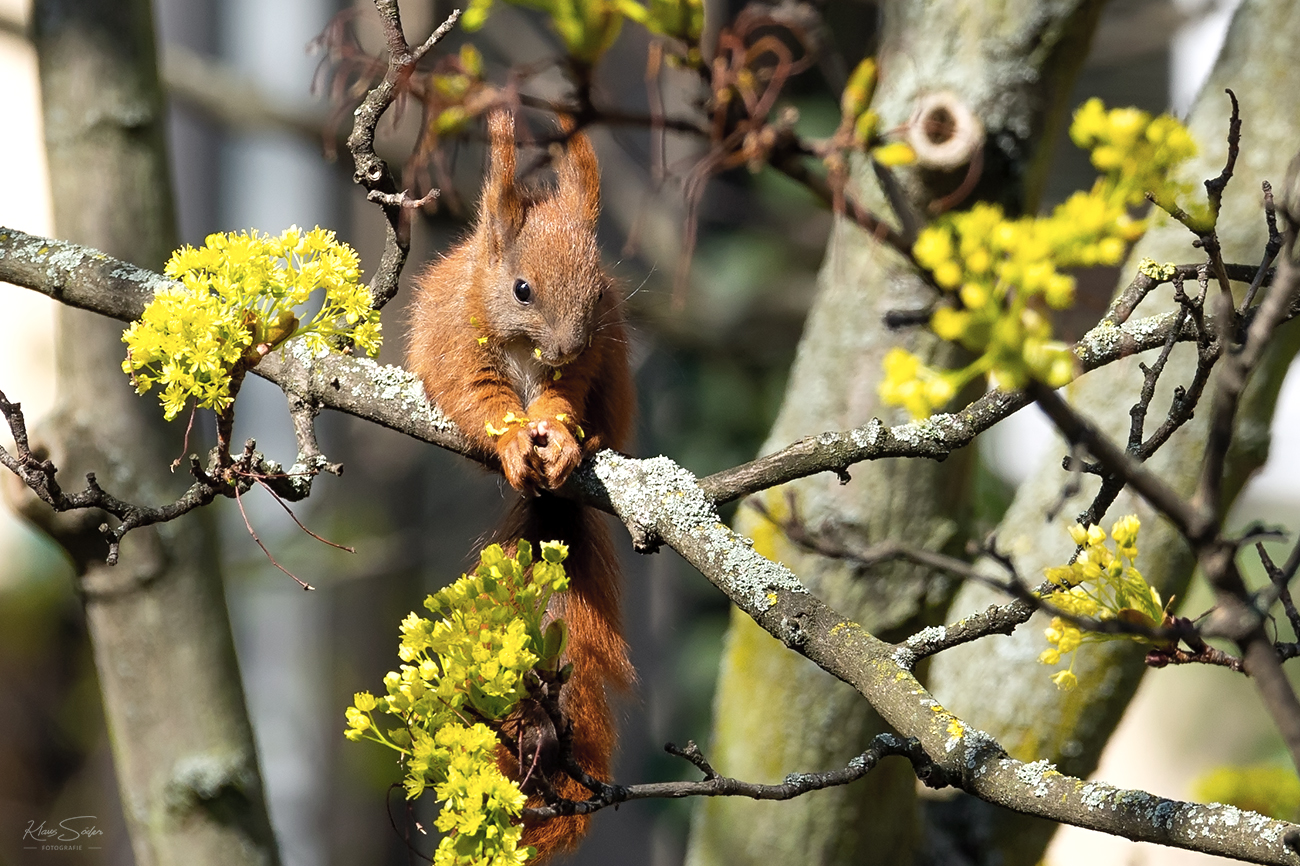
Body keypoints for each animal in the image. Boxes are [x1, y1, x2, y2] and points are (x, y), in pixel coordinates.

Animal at [403, 109, 631, 858]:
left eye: (598, 289)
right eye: (522, 290)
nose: (566, 344)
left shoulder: (587, 363)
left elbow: (562, 402)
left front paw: (558, 437)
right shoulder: (458, 347)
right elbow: (482, 401)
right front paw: (509, 441)